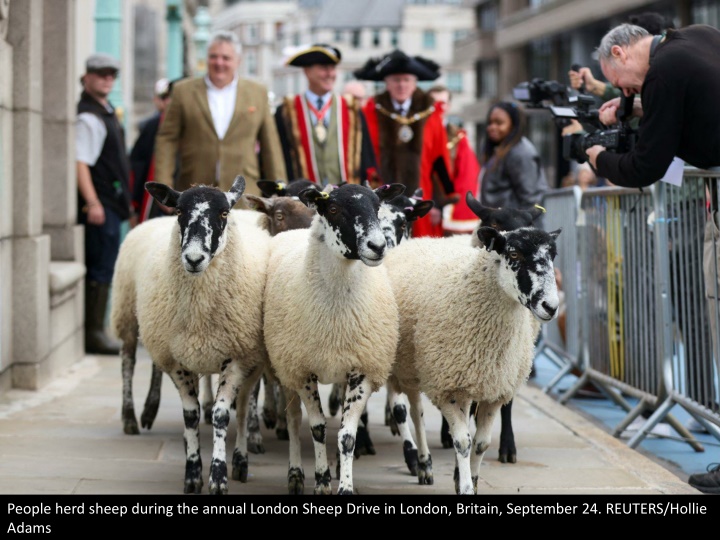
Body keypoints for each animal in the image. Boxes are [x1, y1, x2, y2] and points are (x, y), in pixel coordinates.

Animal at [109, 177, 270, 494]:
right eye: (180, 211)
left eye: (223, 213)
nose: (194, 259)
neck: (199, 313)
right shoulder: (177, 360)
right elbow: (191, 415)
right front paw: (193, 473)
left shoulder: (236, 357)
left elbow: (221, 414)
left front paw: (218, 477)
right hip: (130, 315)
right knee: (128, 362)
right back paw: (132, 417)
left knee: (244, 404)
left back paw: (240, 458)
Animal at [264, 181, 410, 494]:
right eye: (332, 208)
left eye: (377, 205)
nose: (377, 246)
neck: (336, 320)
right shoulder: (304, 372)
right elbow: (317, 428)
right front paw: (321, 481)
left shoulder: (360, 370)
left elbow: (346, 435)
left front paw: (345, 486)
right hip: (286, 366)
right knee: (293, 421)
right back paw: (295, 473)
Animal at [386, 224, 560, 494]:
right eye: (513, 254)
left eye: (553, 256)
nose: (551, 307)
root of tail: (415, 241)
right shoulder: (449, 387)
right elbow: (462, 442)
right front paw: (466, 486)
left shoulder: (494, 392)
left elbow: (480, 443)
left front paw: (471, 481)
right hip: (399, 365)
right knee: (408, 412)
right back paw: (419, 461)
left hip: (416, 367)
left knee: (416, 411)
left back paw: (425, 465)